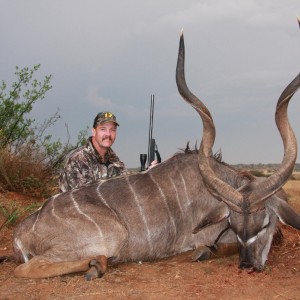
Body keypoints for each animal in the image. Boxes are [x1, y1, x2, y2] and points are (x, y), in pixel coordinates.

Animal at [7, 32, 300, 278]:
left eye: (265, 224)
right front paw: (204, 253)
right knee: (26, 268)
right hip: (111, 236)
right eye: (235, 225)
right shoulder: (204, 236)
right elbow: (213, 246)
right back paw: (96, 264)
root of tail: (21, 231)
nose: (248, 265)